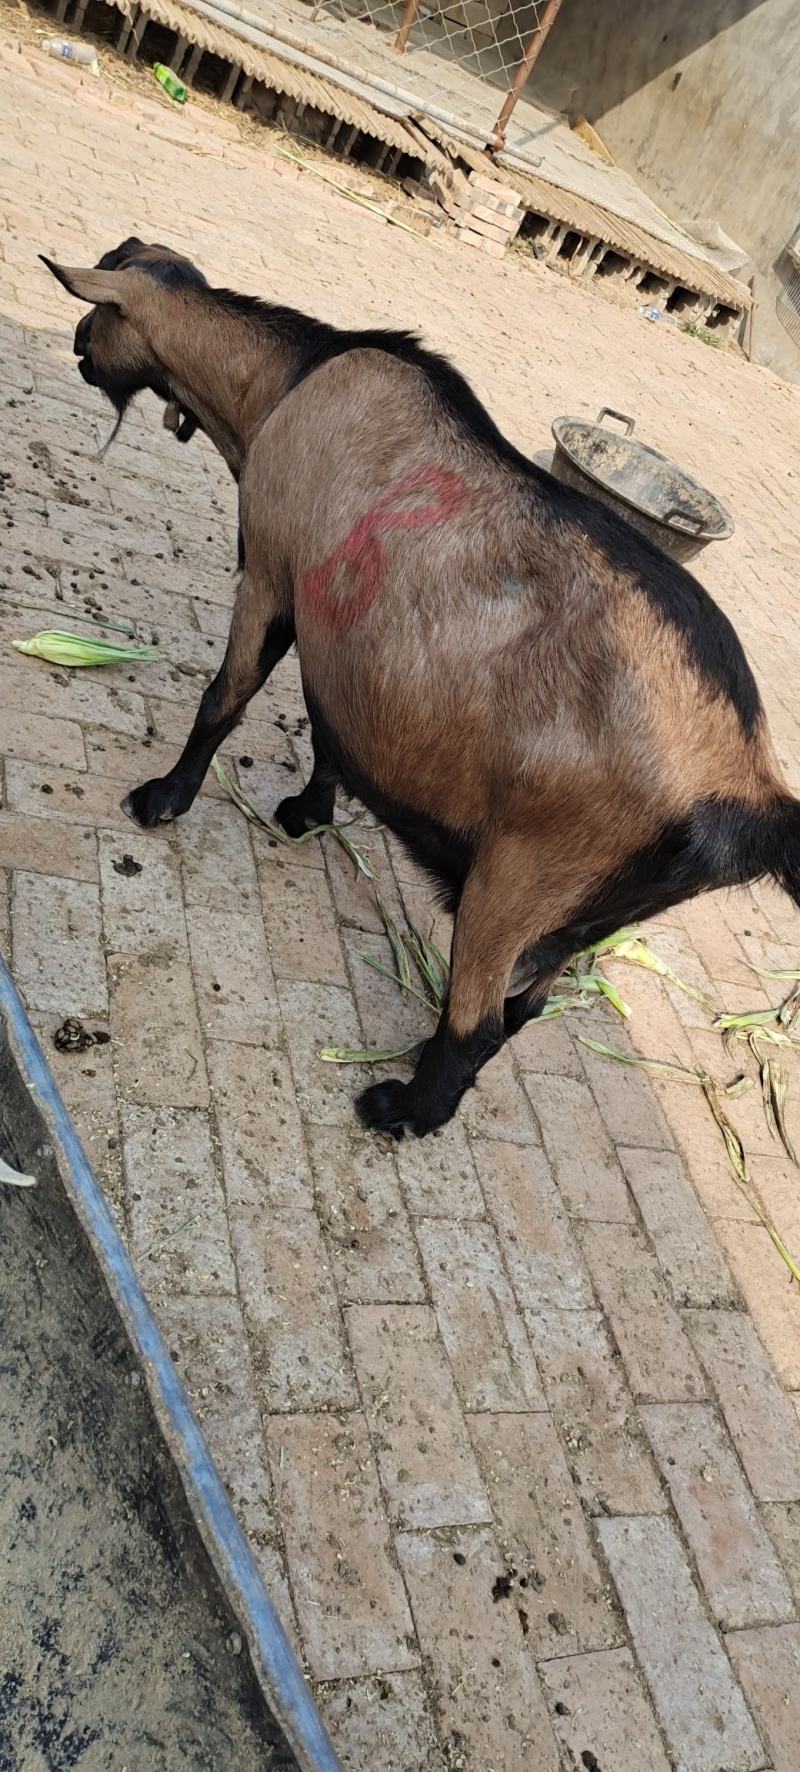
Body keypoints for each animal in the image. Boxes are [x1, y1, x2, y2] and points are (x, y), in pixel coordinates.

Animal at [42, 240, 799, 1141]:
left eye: (98, 310)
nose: (76, 345)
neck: (290, 380)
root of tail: (745, 788)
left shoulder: (271, 570)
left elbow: (225, 699)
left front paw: (162, 798)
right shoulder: (345, 637)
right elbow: (332, 732)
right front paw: (306, 814)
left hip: (523, 875)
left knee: (476, 1022)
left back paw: (400, 1107)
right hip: (588, 915)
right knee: (526, 1006)